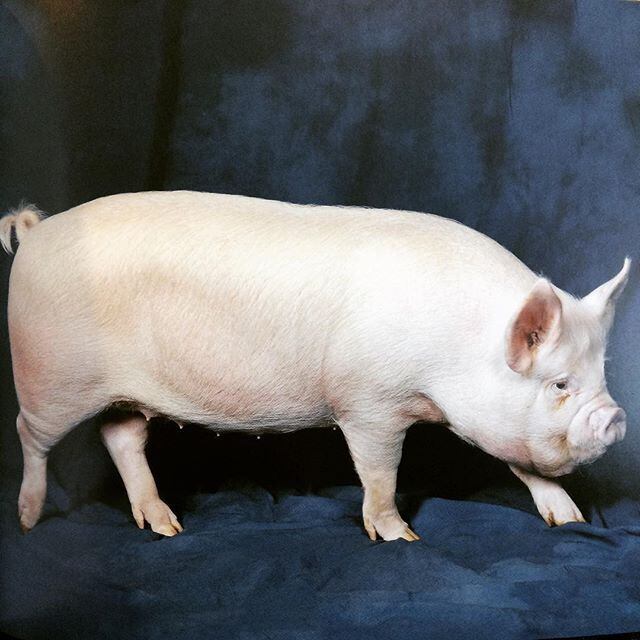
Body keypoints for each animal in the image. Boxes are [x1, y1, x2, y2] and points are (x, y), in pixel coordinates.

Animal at [0, 191, 630, 541]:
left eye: (600, 373)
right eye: (559, 382)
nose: (616, 417)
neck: (457, 351)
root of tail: (36, 235)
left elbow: (525, 465)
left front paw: (572, 521)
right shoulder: (369, 403)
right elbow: (379, 473)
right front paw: (402, 538)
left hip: (125, 393)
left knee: (122, 436)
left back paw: (167, 526)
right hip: (49, 376)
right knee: (29, 434)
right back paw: (27, 521)